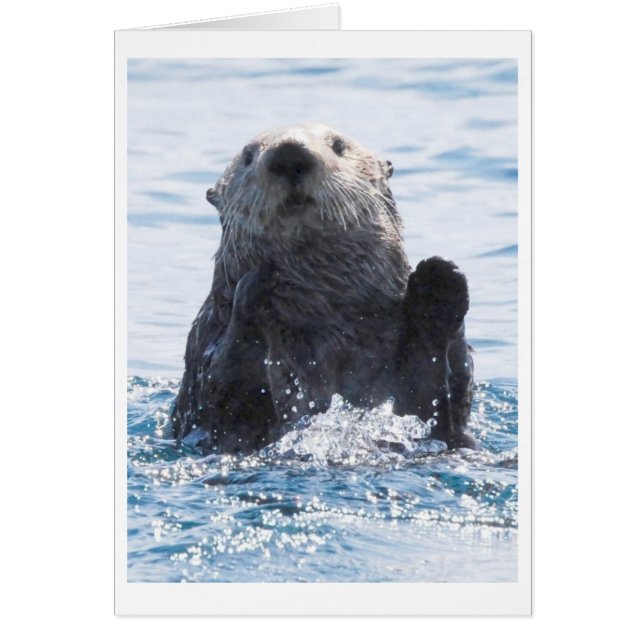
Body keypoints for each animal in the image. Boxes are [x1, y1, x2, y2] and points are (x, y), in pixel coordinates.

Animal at [171, 123, 476, 454]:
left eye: (338, 145)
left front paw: (439, 281)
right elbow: (220, 392)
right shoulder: (205, 344)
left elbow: (438, 399)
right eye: (248, 157)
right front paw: (259, 283)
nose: (289, 153)